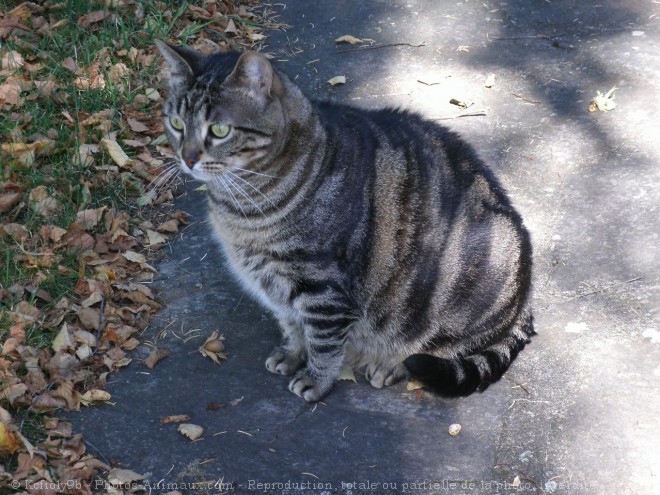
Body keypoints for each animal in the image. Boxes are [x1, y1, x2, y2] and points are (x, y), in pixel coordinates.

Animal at [156, 38, 536, 404]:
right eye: (176, 124)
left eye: (220, 130)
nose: (187, 158)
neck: (241, 209)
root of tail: (524, 300)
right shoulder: (274, 284)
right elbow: (291, 324)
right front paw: (292, 354)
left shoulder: (323, 289)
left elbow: (323, 343)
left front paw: (315, 380)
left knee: (439, 347)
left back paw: (390, 365)